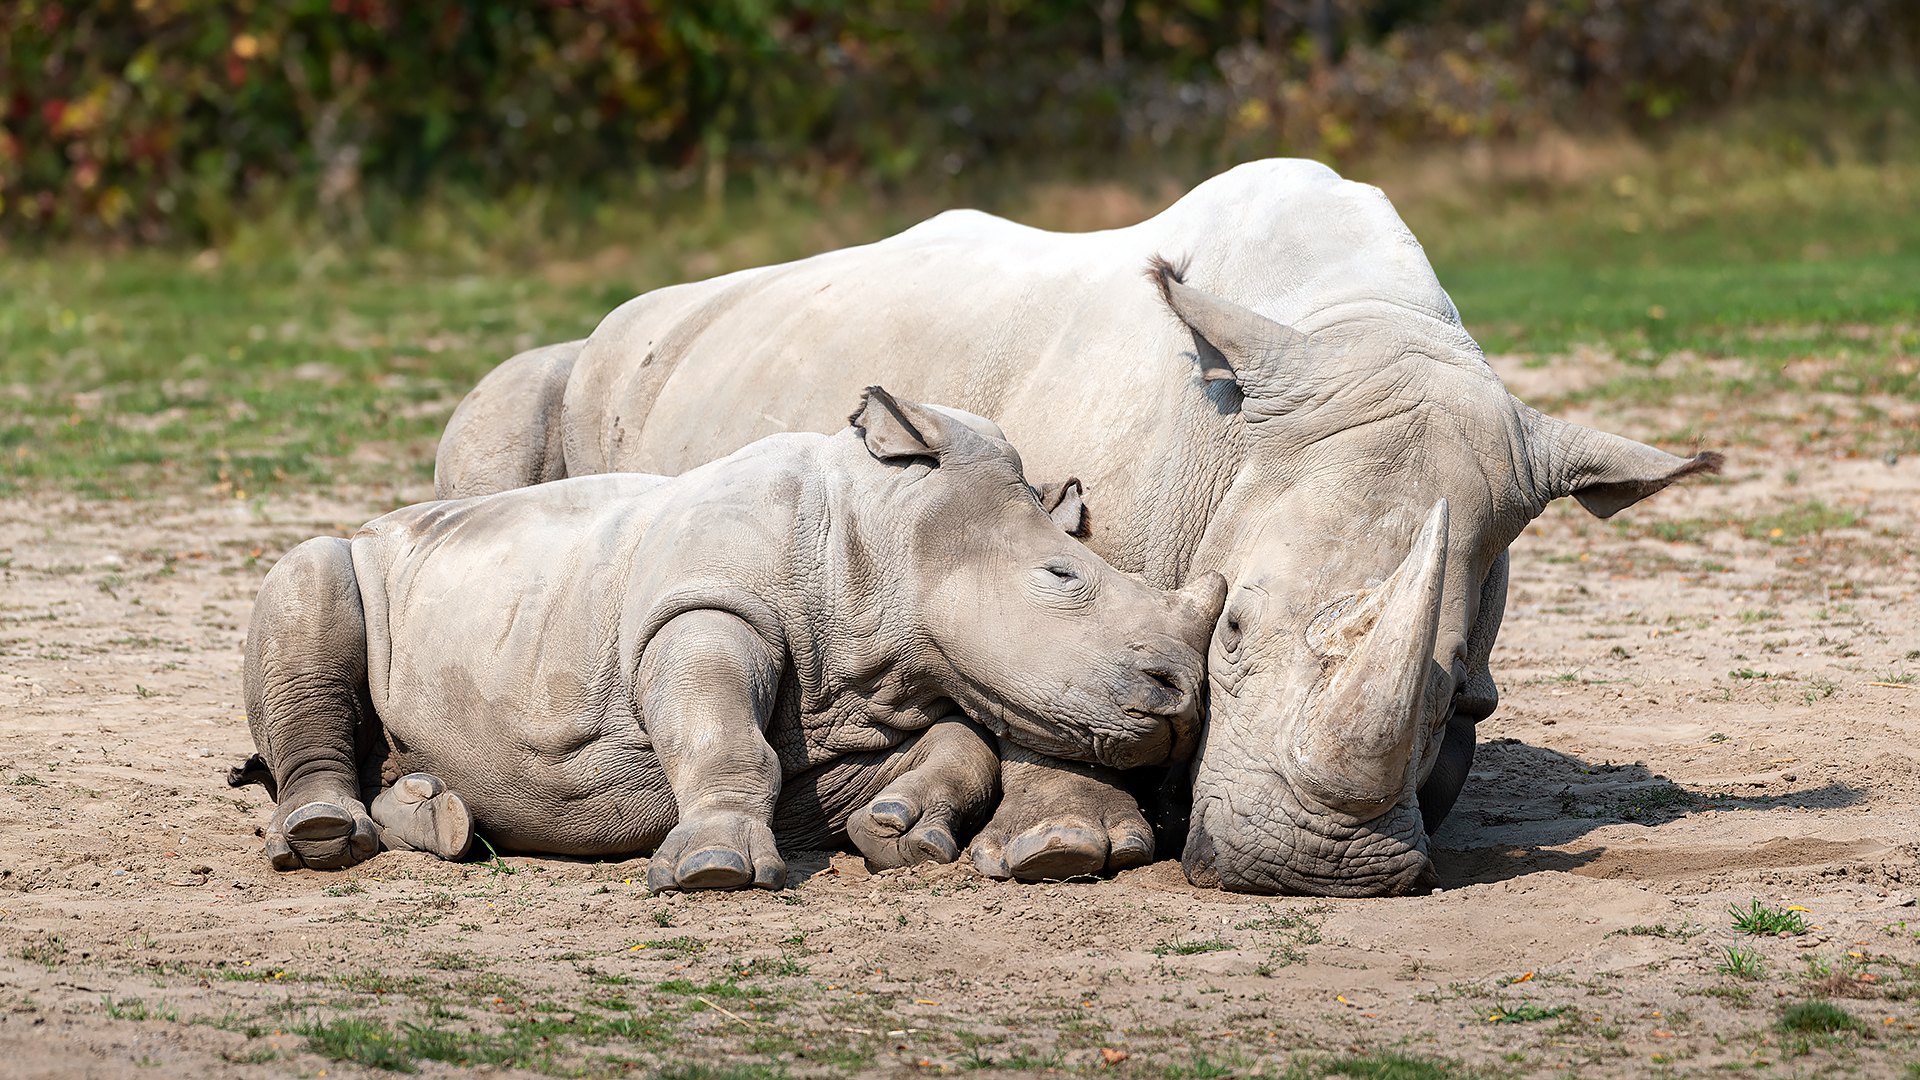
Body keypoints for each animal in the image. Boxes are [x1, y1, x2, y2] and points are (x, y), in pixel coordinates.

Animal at [232, 388, 1223, 888]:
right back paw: (325, 837)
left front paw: (899, 832)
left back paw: (432, 814)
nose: (1183, 699)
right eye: (1062, 579)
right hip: (361, 557)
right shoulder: (700, 606)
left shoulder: (858, 712)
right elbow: (721, 733)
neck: (878, 545)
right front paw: (713, 868)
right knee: (309, 579)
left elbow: (957, 743)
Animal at [433, 159, 1719, 896]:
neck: (1350, 323)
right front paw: (1067, 853)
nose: (1313, 874)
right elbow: (1056, 684)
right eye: (1231, 635)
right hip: (583, 367)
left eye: (1458, 682)